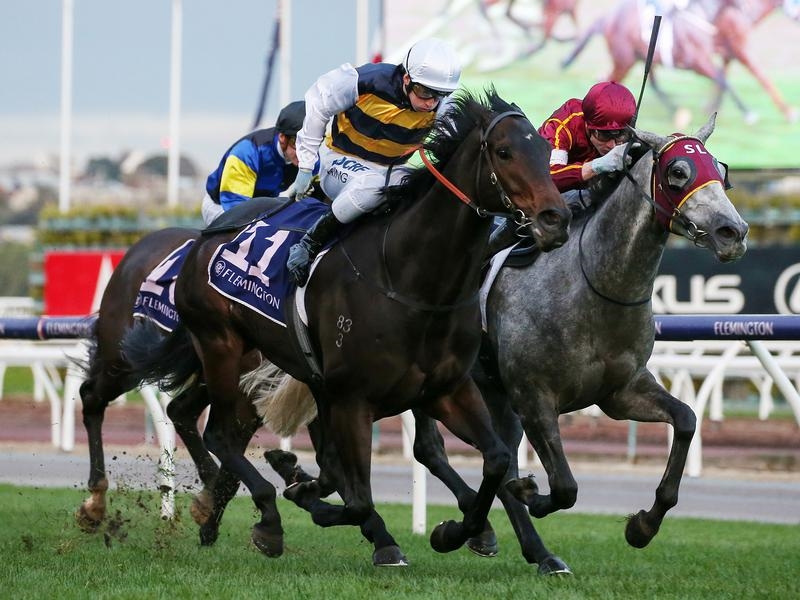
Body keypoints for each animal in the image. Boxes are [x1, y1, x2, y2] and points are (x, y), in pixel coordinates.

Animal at [121, 88, 572, 565]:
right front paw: (314, 504)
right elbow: (356, 497)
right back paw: (267, 517)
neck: (412, 281)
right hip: (222, 346)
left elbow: (497, 459)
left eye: (546, 153)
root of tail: (203, 239)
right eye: (504, 152)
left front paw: (455, 531)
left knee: (201, 420)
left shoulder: (445, 389)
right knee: (221, 434)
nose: (555, 219)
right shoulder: (353, 398)